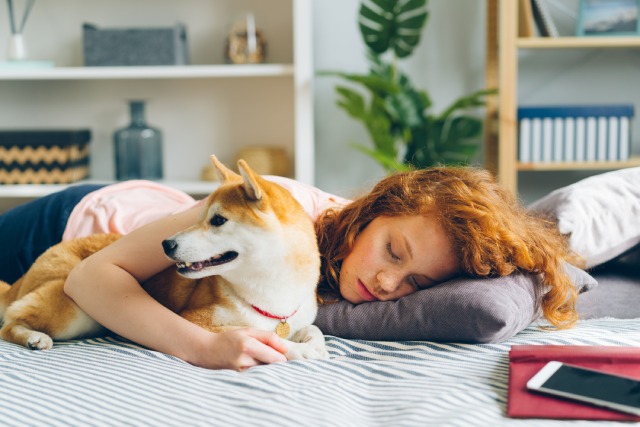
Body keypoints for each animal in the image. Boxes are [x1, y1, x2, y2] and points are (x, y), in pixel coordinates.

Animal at [0, 155, 328, 362]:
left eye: (218, 220)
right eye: (198, 217)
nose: (166, 243)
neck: (272, 294)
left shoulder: (297, 319)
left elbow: (313, 330)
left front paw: (314, 344)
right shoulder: (194, 321)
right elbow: (263, 337)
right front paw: (298, 350)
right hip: (74, 311)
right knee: (9, 322)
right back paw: (33, 337)